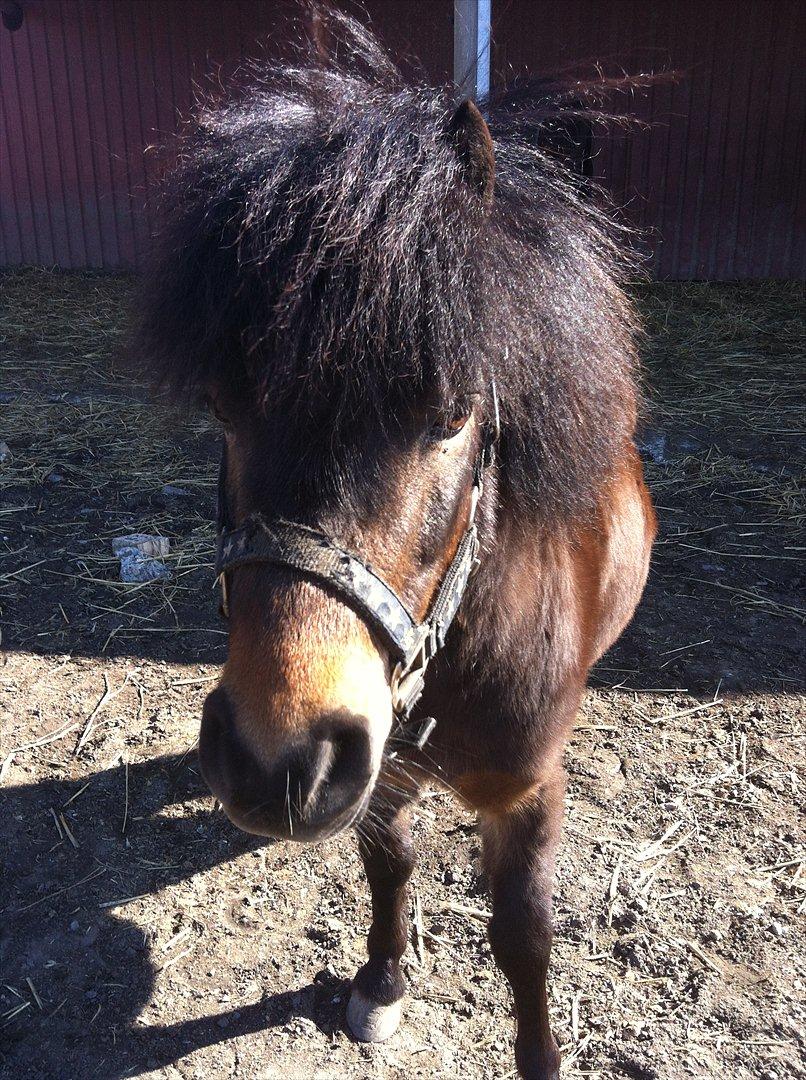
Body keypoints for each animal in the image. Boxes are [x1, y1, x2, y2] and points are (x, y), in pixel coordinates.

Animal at [138, 10, 652, 1080]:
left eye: (453, 414)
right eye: (221, 404)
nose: (271, 763)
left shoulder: (527, 793)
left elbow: (523, 934)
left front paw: (541, 1055)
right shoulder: (377, 769)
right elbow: (391, 861)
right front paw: (380, 981)